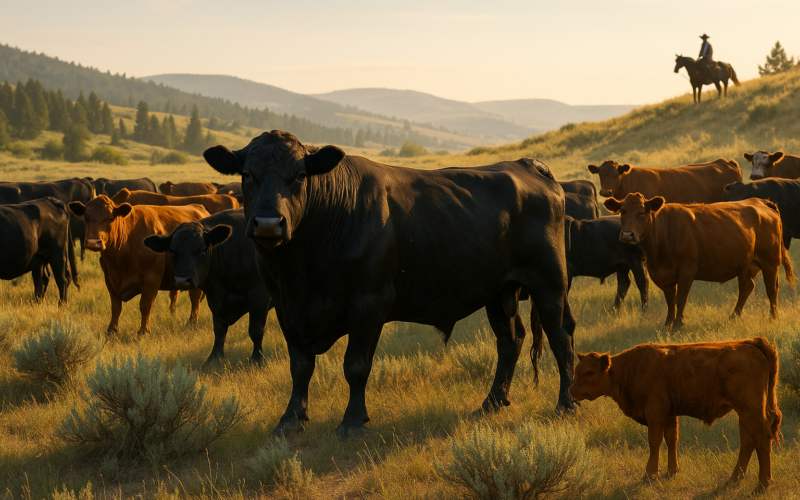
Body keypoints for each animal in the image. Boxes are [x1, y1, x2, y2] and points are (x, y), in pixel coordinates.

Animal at [68, 195, 210, 335]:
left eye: (110, 218)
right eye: (86, 217)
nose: (93, 243)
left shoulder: (151, 278)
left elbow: (145, 305)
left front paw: (143, 331)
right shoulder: (110, 279)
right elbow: (115, 306)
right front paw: (112, 329)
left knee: (195, 298)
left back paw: (192, 323)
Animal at [144, 209, 273, 366]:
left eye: (203, 249)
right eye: (172, 251)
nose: (182, 281)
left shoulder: (259, 296)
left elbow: (256, 330)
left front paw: (257, 359)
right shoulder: (215, 297)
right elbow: (219, 330)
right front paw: (214, 358)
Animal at [203, 130, 577, 437]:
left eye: (299, 175)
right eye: (246, 175)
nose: (268, 224)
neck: (299, 270)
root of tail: (527, 166)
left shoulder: (368, 304)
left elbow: (355, 366)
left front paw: (352, 421)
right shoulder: (284, 307)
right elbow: (300, 366)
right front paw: (291, 418)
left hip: (550, 283)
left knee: (561, 337)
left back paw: (566, 404)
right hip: (499, 291)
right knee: (510, 341)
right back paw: (492, 402)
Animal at [569, 337, 781, 493]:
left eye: (590, 372)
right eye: (576, 370)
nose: (571, 390)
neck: (632, 367)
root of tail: (751, 344)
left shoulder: (655, 415)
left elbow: (655, 442)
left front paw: (650, 474)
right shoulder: (670, 415)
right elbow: (672, 439)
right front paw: (672, 472)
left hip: (750, 411)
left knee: (761, 440)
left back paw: (762, 485)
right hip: (744, 414)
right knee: (748, 442)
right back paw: (734, 479)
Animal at [604, 193, 794, 329]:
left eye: (642, 212)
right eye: (622, 211)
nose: (627, 235)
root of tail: (761, 202)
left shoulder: (687, 270)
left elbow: (680, 298)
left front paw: (678, 324)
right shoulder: (664, 275)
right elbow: (670, 299)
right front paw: (668, 322)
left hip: (771, 262)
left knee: (771, 289)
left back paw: (773, 318)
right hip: (745, 265)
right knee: (747, 287)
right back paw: (733, 317)